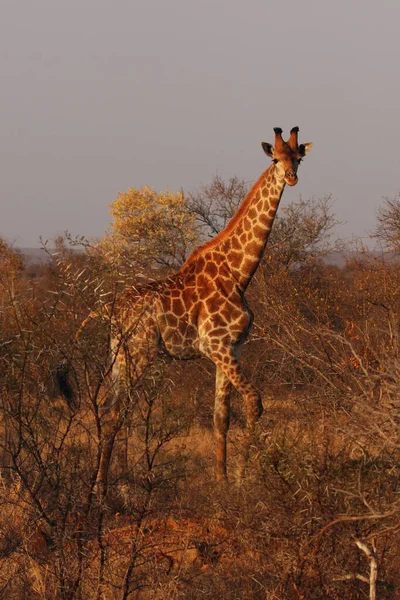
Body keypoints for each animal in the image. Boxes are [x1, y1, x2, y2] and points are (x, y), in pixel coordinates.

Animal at [58, 126, 312, 488]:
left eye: (298, 158)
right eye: (275, 159)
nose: (291, 177)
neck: (239, 274)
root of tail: (112, 309)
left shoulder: (232, 347)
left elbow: (221, 415)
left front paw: (222, 481)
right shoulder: (215, 344)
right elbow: (254, 402)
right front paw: (241, 478)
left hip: (120, 354)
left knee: (114, 408)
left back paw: (121, 479)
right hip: (140, 352)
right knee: (116, 412)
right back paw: (101, 488)